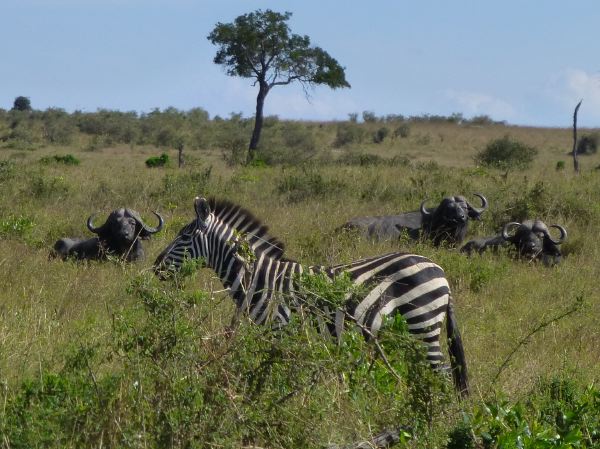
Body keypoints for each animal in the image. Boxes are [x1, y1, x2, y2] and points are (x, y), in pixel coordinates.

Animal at [154, 198, 468, 394]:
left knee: (441, 371)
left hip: (422, 322)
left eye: (184, 237)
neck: (262, 278)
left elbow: (276, 371)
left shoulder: (279, 327)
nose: (156, 268)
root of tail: (439, 269)